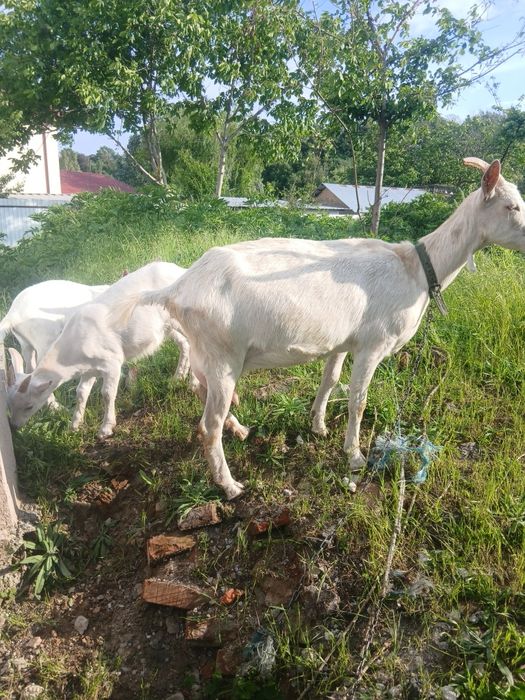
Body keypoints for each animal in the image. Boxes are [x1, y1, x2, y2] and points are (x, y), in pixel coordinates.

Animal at [7, 262, 190, 437]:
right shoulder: (89, 369)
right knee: (185, 343)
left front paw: (106, 428)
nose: (13, 426)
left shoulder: (112, 361)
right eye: (10, 404)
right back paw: (178, 378)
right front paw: (74, 426)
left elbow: (107, 393)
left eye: (29, 406)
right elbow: (81, 392)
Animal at [114, 158, 525, 499]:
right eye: (512, 206)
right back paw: (229, 484)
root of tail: (177, 288)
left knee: (200, 389)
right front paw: (354, 455)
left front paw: (319, 426)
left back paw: (240, 430)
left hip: (206, 353)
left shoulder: (343, 342)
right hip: (223, 353)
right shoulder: (373, 343)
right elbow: (359, 399)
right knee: (207, 425)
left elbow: (330, 380)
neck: (416, 269)